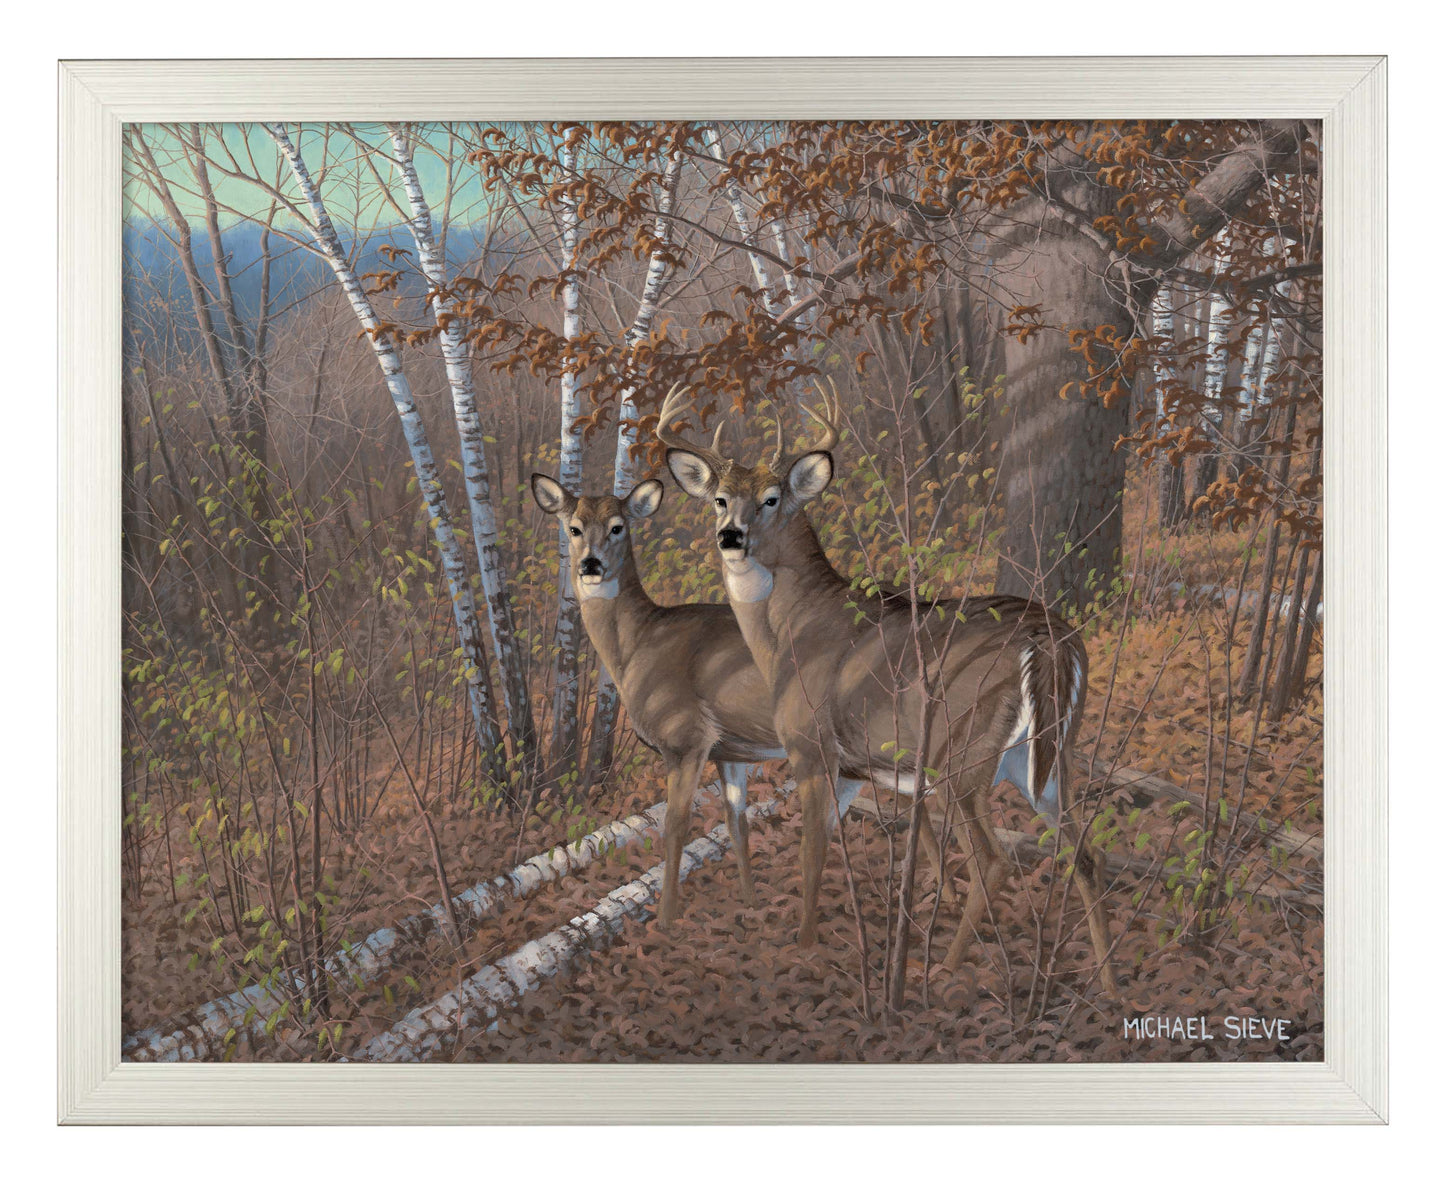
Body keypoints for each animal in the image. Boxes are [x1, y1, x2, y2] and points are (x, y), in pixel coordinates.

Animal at [530, 469, 960, 928]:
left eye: (617, 527)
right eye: (573, 528)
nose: (590, 564)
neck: (637, 645)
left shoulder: (686, 736)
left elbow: (675, 826)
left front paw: (665, 920)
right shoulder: (729, 751)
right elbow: (736, 822)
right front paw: (751, 902)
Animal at [658, 383, 1116, 994]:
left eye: (773, 498)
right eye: (718, 498)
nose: (731, 536)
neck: (790, 633)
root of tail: (1051, 642)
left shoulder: (811, 746)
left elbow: (812, 851)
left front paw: (804, 946)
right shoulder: (860, 768)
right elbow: (869, 846)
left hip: (962, 754)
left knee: (995, 860)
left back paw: (942, 973)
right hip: (1048, 757)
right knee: (1087, 854)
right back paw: (1108, 984)